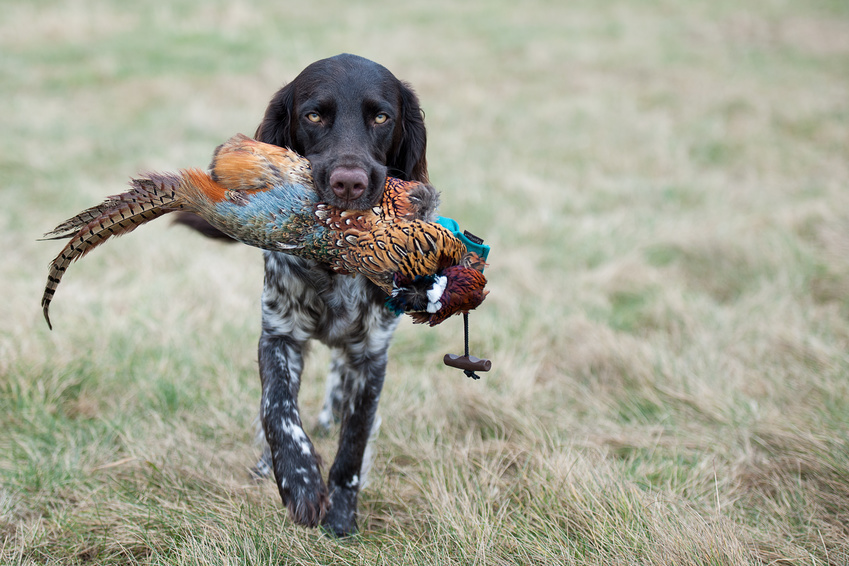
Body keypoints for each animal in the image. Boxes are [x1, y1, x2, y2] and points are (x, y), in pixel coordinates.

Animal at [180, 53, 430, 536]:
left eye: (382, 118)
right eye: (314, 115)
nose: (349, 183)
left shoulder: (372, 355)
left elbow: (355, 438)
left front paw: (341, 513)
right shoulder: (279, 334)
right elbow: (277, 409)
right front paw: (298, 481)